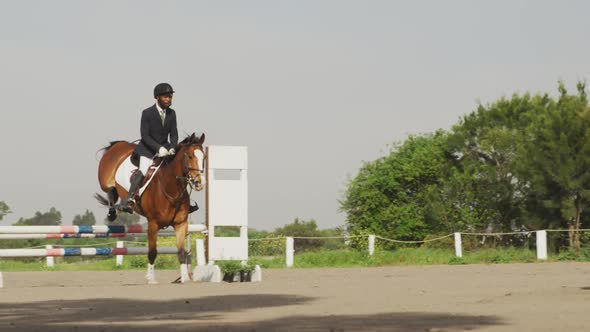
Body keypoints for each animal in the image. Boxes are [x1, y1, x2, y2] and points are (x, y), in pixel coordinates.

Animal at [96, 134, 207, 284]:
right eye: (189, 156)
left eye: (204, 157)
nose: (199, 183)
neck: (171, 188)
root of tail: (119, 144)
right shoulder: (153, 224)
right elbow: (152, 252)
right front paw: (151, 279)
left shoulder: (181, 224)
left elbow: (181, 252)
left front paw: (184, 278)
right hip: (105, 182)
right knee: (110, 190)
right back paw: (114, 211)